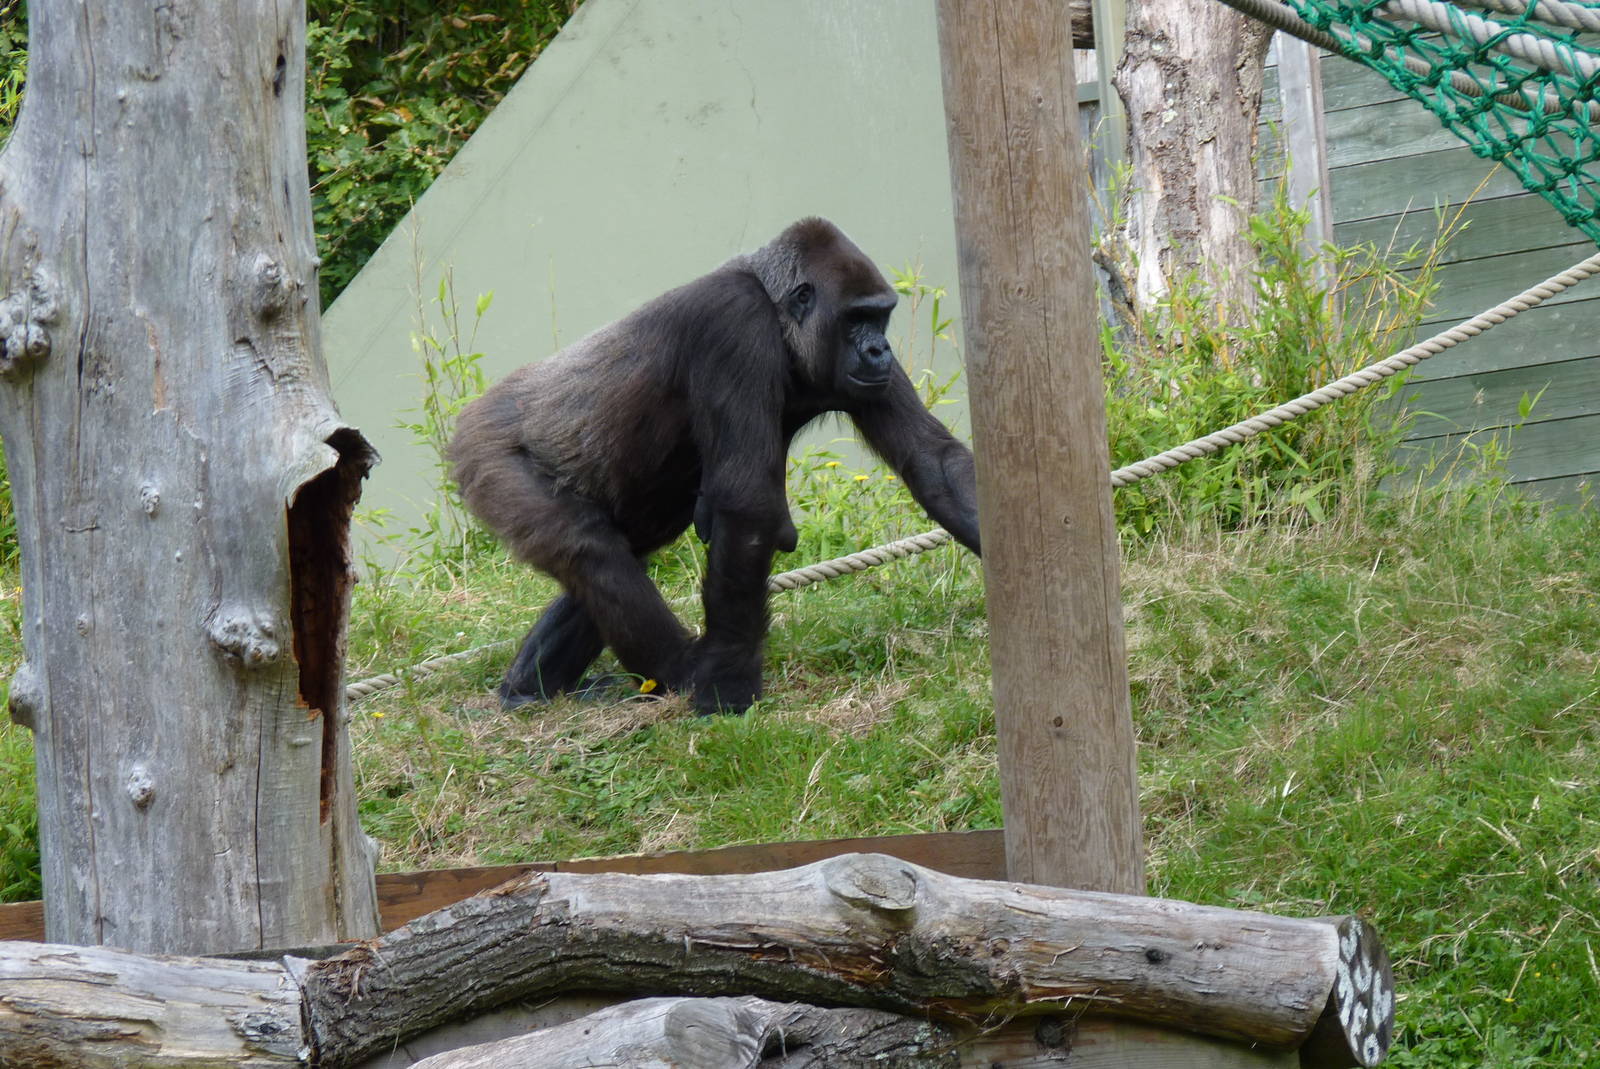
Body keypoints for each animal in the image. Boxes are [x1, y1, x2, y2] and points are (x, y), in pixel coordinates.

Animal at [449, 218, 980, 714]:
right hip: (487, 454)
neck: (778, 315)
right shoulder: (736, 321)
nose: (878, 350)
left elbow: (934, 462)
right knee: (591, 550)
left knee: (625, 548)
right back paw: (679, 670)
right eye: (856, 318)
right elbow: (746, 510)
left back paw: (532, 686)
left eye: (880, 317)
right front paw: (728, 681)